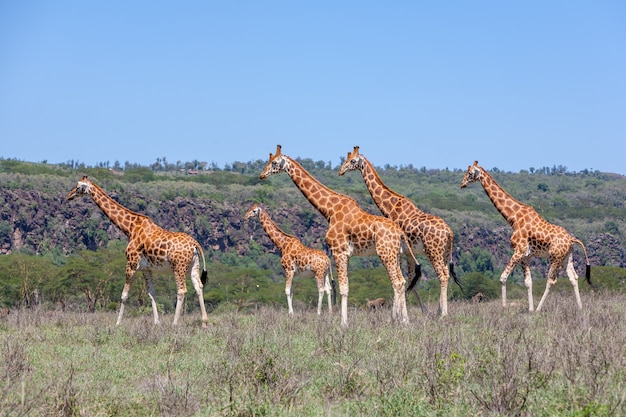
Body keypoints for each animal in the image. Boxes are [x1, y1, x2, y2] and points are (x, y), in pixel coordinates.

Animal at [67, 176, 210, 324]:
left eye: (78, 187)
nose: (69, 196)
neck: (130, 228)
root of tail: (195, 244)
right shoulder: (146, 268)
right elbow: (151, 293)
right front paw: (156, 322)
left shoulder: (131, 263)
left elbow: (124, 295)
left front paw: (117, 323)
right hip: (193, 265)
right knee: (198, 287)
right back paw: (204, 322)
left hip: (178, 266)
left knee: (182, 290)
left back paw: (175, 323)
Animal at [258, 145, 414, 324]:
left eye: (274, 162)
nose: (262, 175)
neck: (329, 210)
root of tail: (400, 232)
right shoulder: (344, 254)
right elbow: (342, 287)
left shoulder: (339, 251)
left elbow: (343, 288)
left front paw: (343, 323)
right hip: (396, 254)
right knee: (401, 281)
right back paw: (403, 320)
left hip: (385, 253)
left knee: (397, 282)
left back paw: (401, 321)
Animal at [338, 146, 460, 316]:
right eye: (345, 159)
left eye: (353, 161)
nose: (341, 171)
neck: (391, 207)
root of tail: (449, 232)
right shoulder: (406, 252)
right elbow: (410, 280)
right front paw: (422, 312)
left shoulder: (399, 251)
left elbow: (403, 280)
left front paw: (397, 314)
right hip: (443, 252)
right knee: (446, 274)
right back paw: (438, 311)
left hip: (433, 251)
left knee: (442, 275)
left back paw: (443, 314)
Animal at [458, 161, 588, 310]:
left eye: (470, 173)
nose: (462, 184)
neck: (513, 218)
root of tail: (572, 239)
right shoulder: (526, 256)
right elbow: (528, 282)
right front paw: (529, 309)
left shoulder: (518, 251)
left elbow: (503, 277)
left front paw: (504, 308)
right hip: (567, 257)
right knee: (574, 277)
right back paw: (580, 308)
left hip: (555, 258)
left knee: (551, 280)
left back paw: (539, 309)